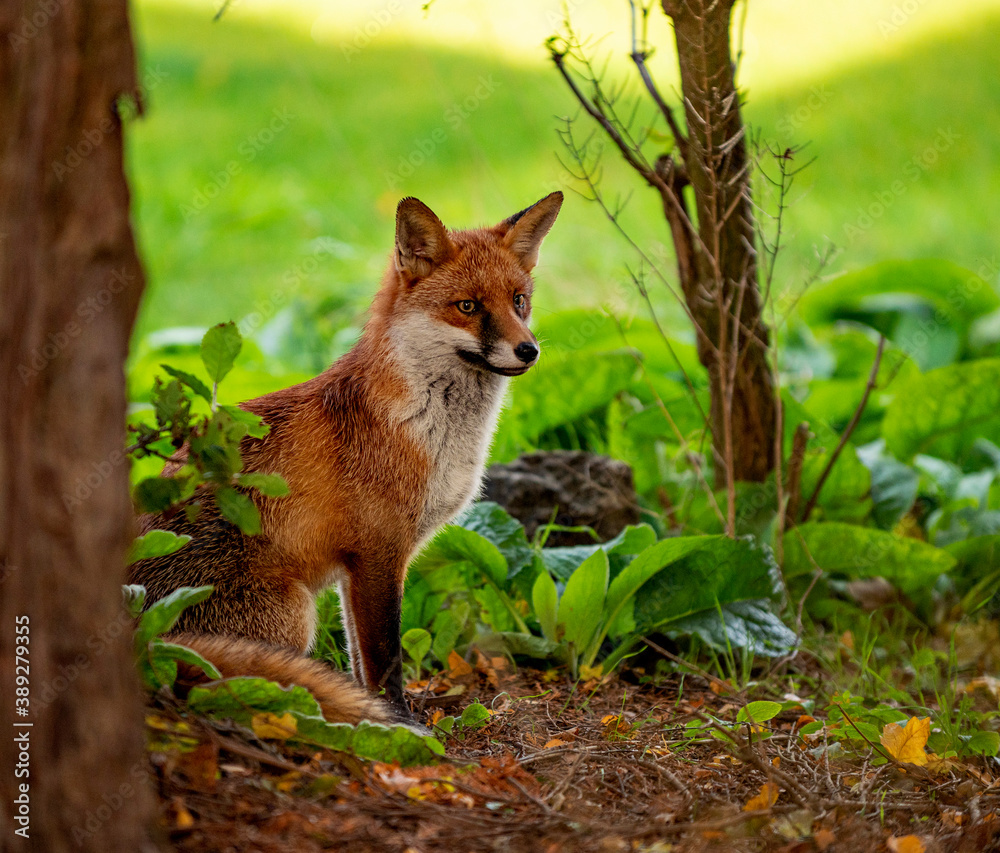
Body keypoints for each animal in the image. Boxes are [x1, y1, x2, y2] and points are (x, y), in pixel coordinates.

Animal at [129, 192, 563, 725]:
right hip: (292, 616)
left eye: (519, 300)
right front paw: (398, 722)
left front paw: (377, 711)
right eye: (468, 306)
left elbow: (360, 660)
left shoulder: (354, 570)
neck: (429, 431)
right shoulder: (379, 552)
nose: (529, 350)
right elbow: (384, 656)